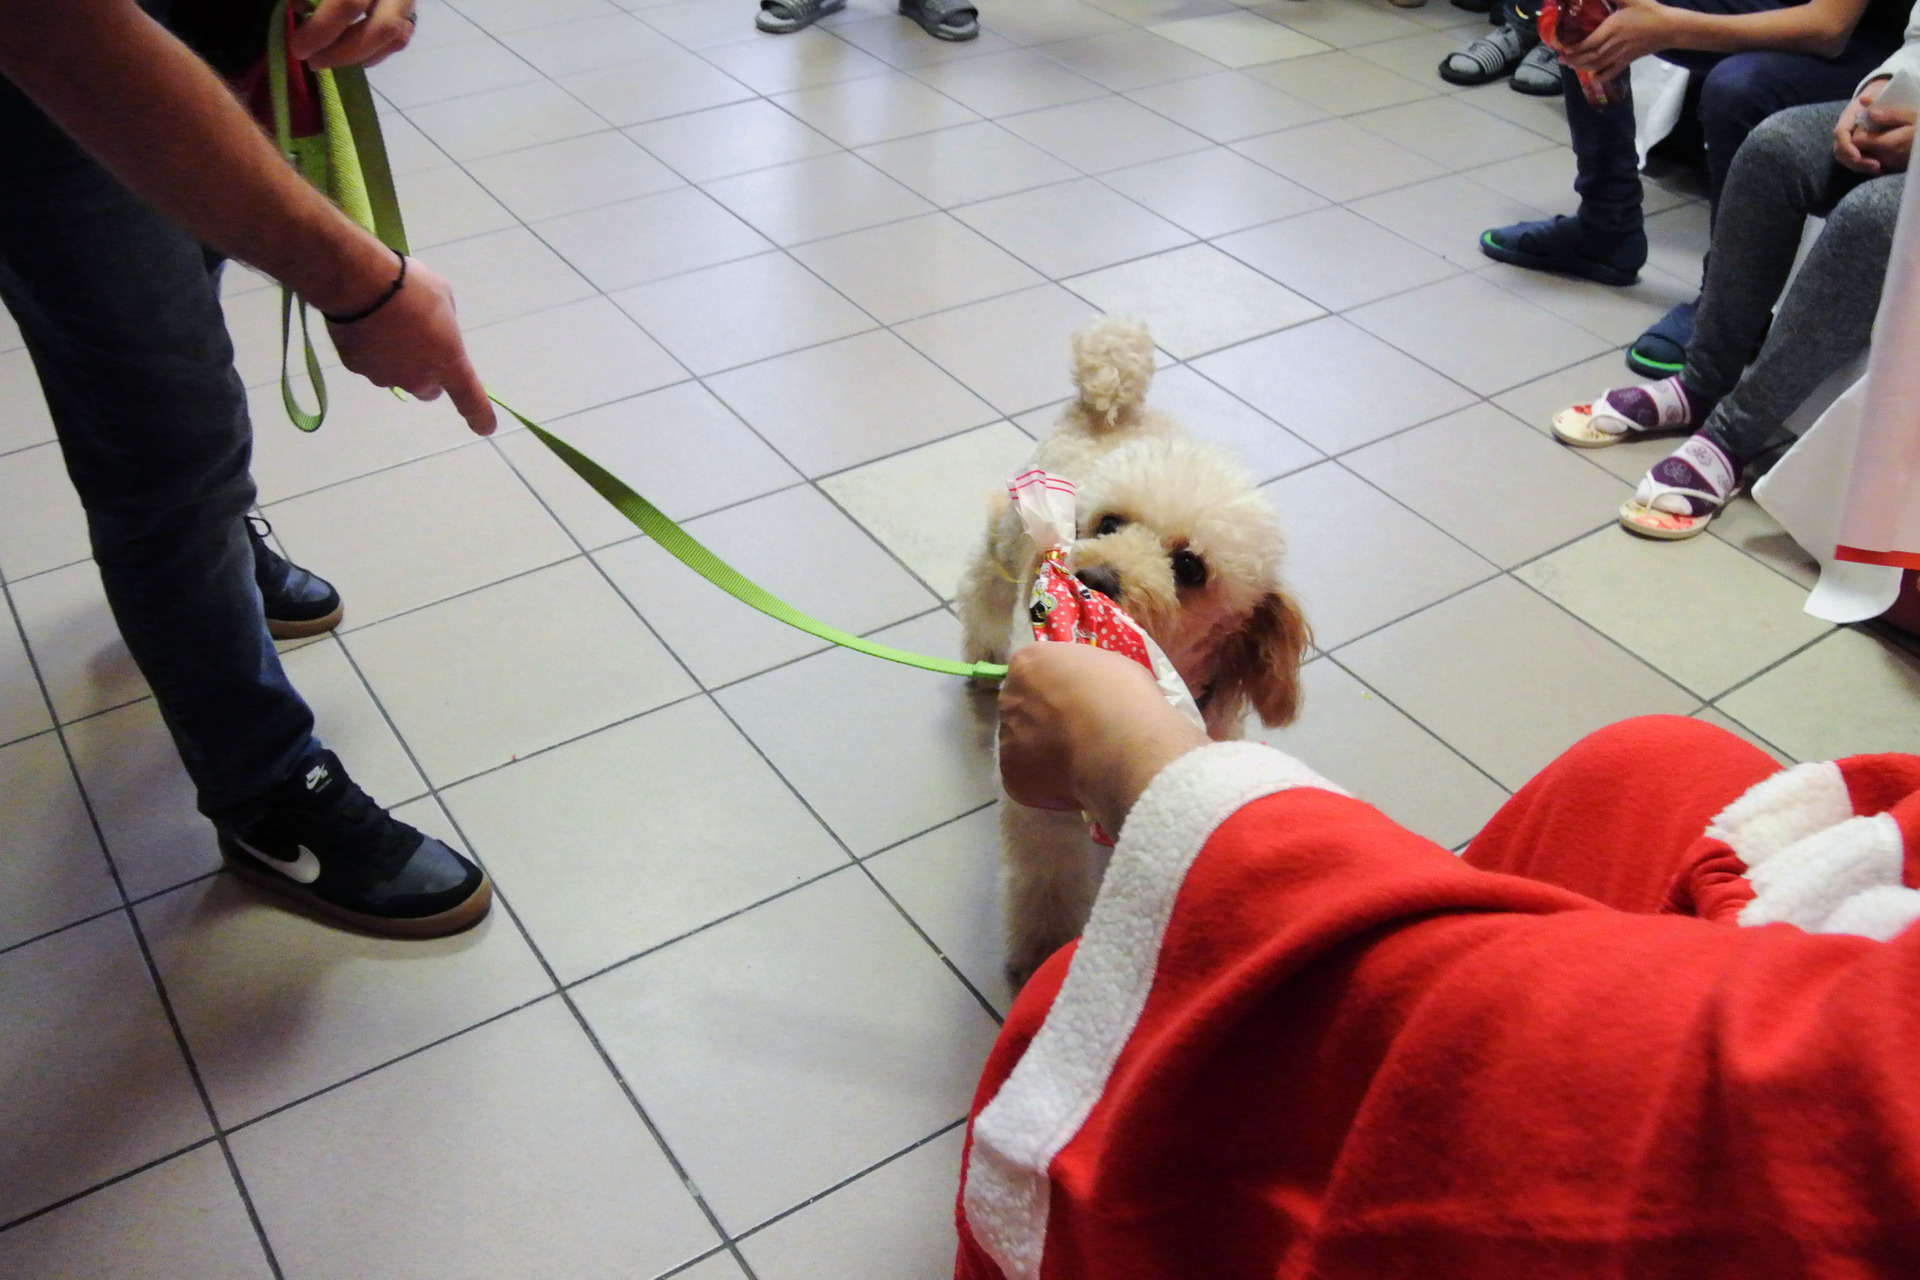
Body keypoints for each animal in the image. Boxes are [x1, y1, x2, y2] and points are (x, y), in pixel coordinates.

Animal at [958, 317, 1311, 988]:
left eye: (1190, 566)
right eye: (1109, 523)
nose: (1093, 575)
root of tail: (1109, 405)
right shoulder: (1038, 810)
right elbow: (1045, 880)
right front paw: (1041, 954)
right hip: (1008, 536)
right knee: (981, 589)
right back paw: (981, 656)